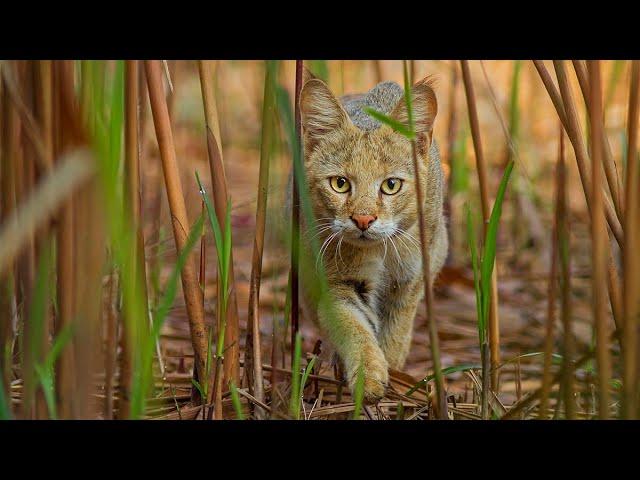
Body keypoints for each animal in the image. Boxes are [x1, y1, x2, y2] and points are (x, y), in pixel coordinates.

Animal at [298, 69, 448, 404]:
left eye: (391, 185)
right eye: (340, 184)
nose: (363, 220)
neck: (380, 251)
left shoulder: (411, 277)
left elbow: (396, 331)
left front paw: (392, 376)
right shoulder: (337, 281)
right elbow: (353, 326)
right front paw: (368, 376)